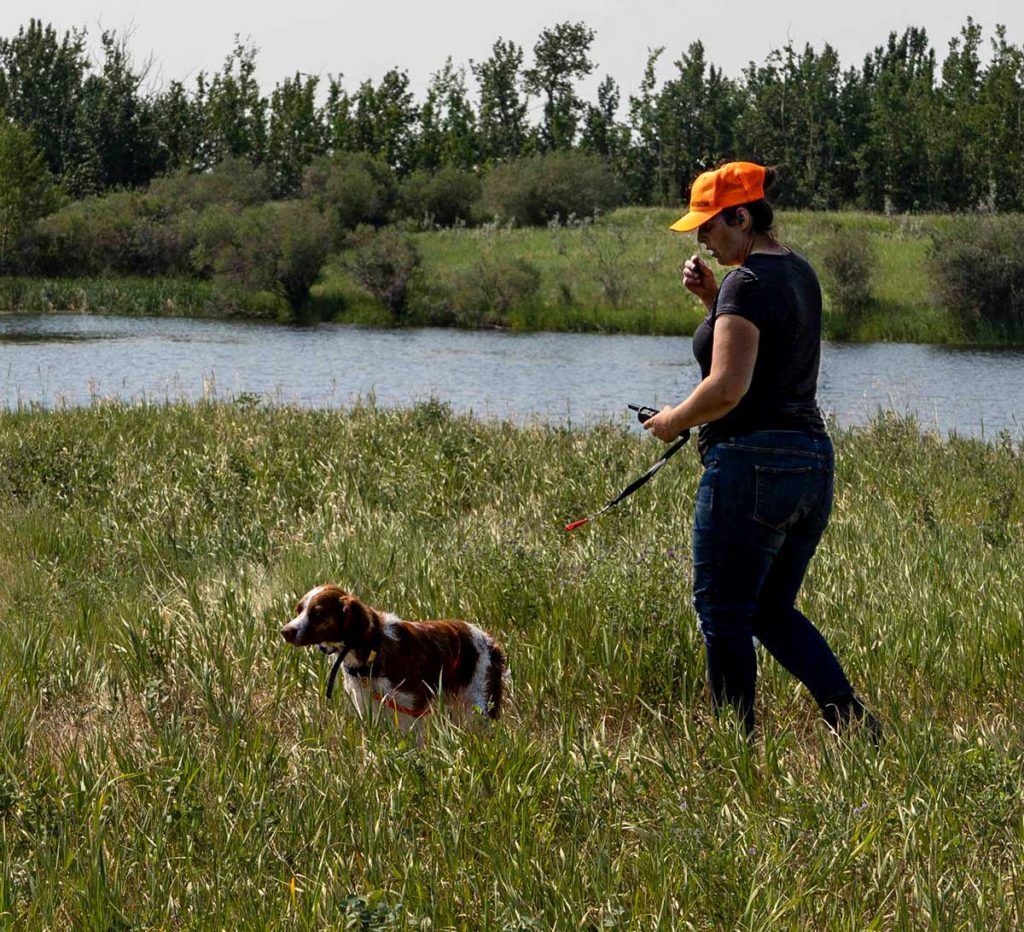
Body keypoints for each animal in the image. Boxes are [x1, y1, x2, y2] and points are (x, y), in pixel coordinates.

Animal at [280, 585, 507, 733]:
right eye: (299, 610)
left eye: (317, 614)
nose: (285, 631)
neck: (371, 649)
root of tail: (490, 641)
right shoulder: (369, 707)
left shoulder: (411, 706)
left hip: (478, 705)